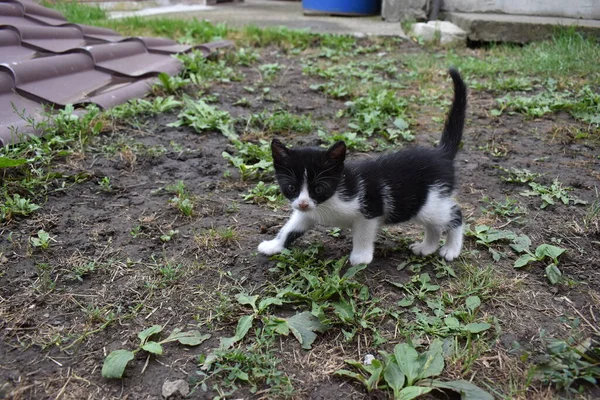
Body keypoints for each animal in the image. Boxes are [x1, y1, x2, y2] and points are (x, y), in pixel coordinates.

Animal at [258, 69, 468, 266]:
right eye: (291, 187)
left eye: (318, 188)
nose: (302, 203)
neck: (329, 200)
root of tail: (442, 154)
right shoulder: (308, 213)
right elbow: (291, 227)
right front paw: (273, 245)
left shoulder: (371, 208)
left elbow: (363, 233)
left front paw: (360, 257)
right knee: (434, 224)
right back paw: (427, 247)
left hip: (430, 201)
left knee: (455, 214)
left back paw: (451, 249)